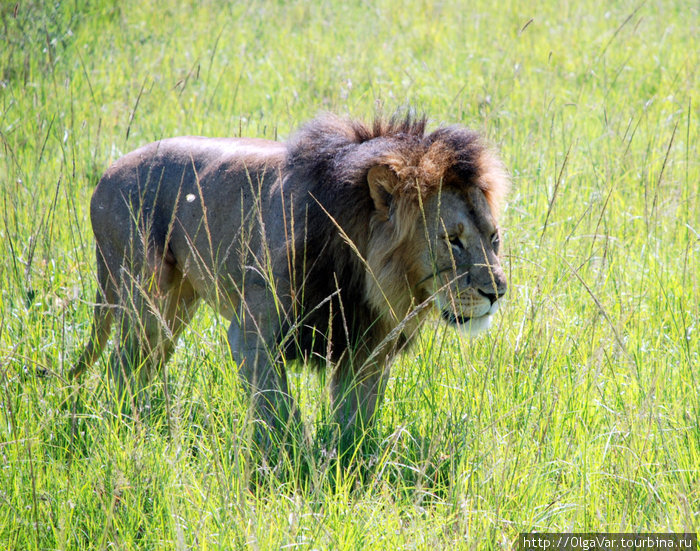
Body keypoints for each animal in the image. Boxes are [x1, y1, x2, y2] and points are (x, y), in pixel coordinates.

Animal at [72, 114, 508, 450]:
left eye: (494, 238)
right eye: (452, 240)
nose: (497, 293)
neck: (361, 270)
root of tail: (106, 175)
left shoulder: (366, 346)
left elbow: (355, 418)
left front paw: (348, 461)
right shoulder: (253, 335)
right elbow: (279, 408)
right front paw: (293, 459)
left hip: (175, 307)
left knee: (143, 365)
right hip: (145, 295)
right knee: (121, 365)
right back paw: (130, 428)